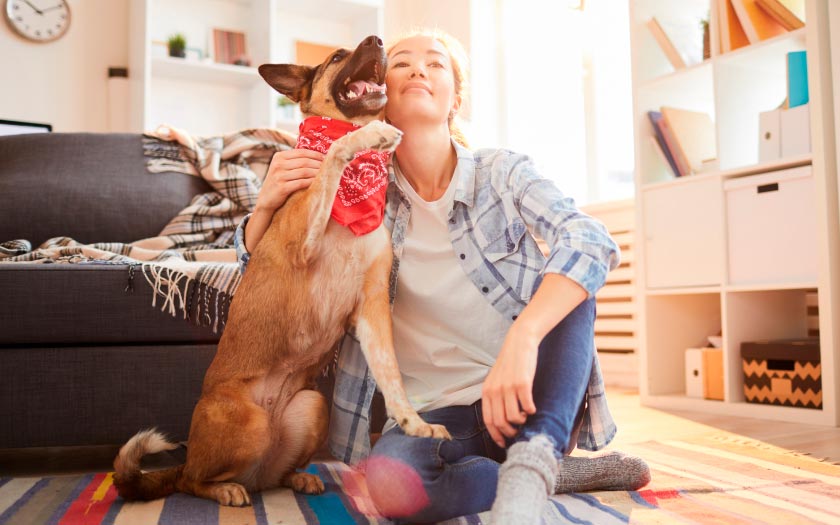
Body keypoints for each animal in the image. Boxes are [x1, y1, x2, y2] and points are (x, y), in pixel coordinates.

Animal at [116, 34, 452, 506]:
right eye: (336, 57)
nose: (378, 40)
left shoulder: (371, 308)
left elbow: (391, 376)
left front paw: (414, 424)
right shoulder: (303, 246)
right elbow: (333, 157)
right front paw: (370, 135)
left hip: (312, 405)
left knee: (271, 474)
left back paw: (297, 478)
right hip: (248, 425)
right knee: (192, 480)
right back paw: (225, 489)